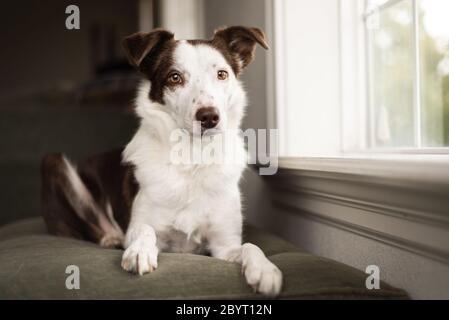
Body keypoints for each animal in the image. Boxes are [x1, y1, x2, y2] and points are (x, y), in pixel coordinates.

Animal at [40, 26, 282, 296]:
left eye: (222, 74)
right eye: (175, 77)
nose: (209, 117)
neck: (191, 156)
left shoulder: (224, 247)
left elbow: (252, 246)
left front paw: (266, 270)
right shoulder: (144, 224)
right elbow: (145, 230)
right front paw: (138, 251)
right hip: (54, 161)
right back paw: (110, 237)